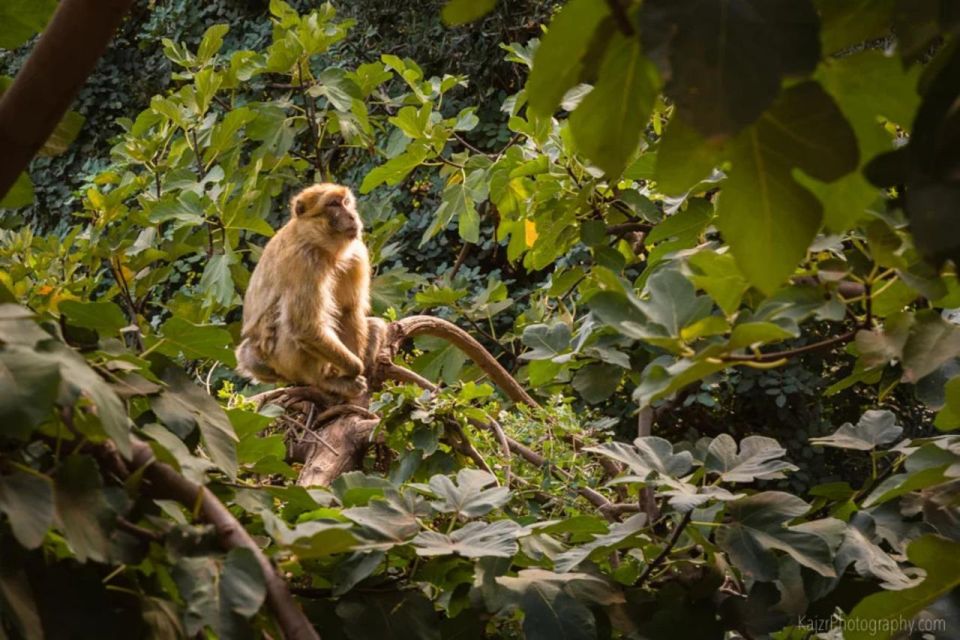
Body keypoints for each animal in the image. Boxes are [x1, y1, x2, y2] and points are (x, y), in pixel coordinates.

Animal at [238, 182, 374, 398]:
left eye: (346, 202)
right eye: (333, 204)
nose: (353, 216)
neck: (320, 245)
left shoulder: (356, 255)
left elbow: (348, 310)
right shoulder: (303, 262)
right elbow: (305, 328)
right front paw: (354, 370)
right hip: (285, 363)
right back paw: (325, 381)